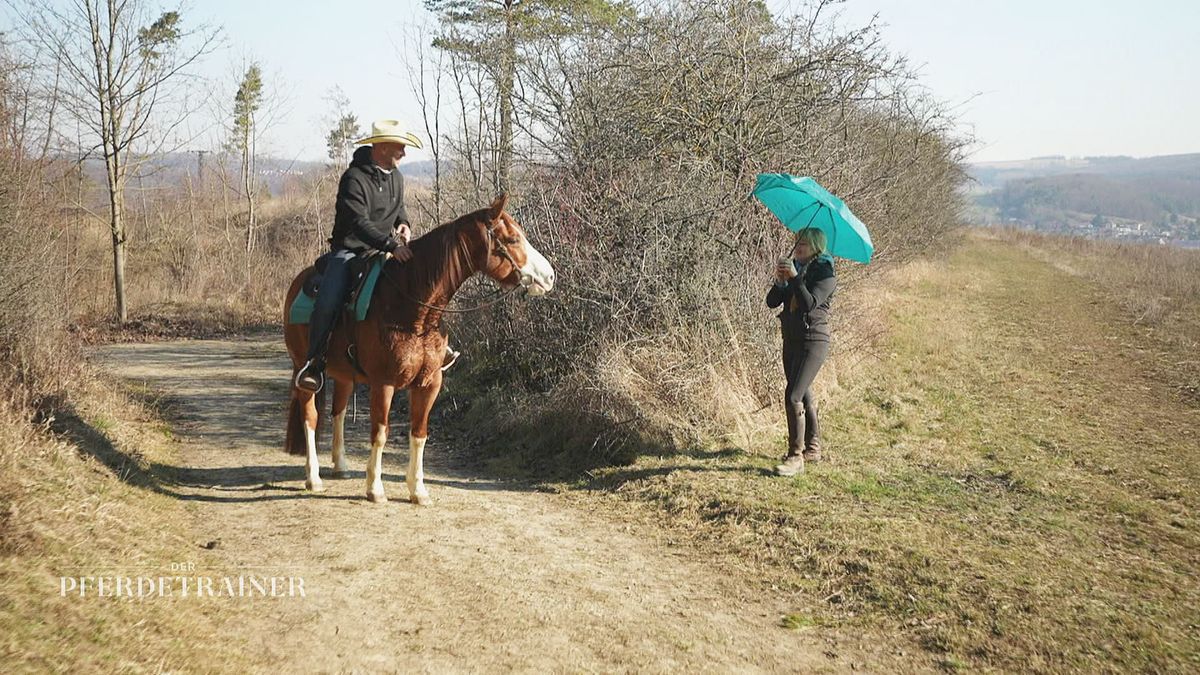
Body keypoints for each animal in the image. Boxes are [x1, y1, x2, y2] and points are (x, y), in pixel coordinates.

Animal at [283, 192, 554, 502]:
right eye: (512, 240)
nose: (550, 277)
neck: (413, 310)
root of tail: (299, 282)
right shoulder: (384, 384)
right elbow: (380, 433)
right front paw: (375, 488)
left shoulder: (429, 383)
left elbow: (419, 433)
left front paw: (418, 490)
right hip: (302, 369)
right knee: (310, 417)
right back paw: (314, 477)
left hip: (344, 376)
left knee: (337, 412)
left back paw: (340, 465)